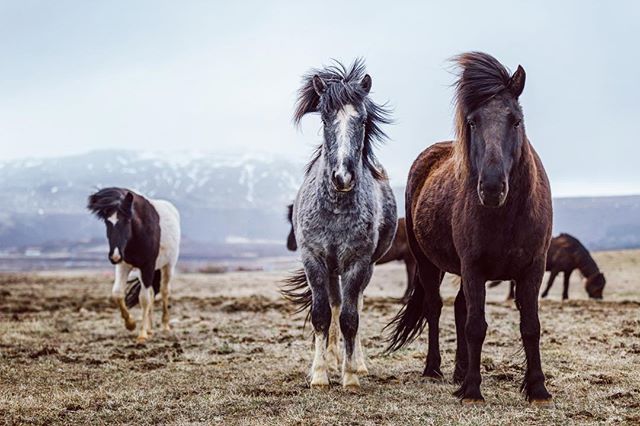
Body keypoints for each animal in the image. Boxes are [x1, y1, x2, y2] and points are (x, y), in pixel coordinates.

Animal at [87, 188, 181, 342]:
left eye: (127, 220)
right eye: (107, 222)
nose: (114, 256)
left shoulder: (147, 266)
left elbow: (143, 299)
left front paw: (141, 335)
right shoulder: (123, 265)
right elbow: (117, 293)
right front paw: (130, 324)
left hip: (168, 265)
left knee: (164, 291)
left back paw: (165, 326)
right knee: (152, 292)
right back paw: (150, 329)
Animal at [281, 59, 397, 389]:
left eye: (363, 119)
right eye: (324, 118)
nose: (343, 177)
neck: (334, 210)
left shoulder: (357, 262)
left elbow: (350, 318)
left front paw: (350, 376)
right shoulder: (314, 259)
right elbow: (322, 314)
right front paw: (320, 374)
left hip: (363, 268)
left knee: (354, 304)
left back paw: (356, 363)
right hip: (331, 269)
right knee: (334, 303)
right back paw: (332, 358)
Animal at [386, 52, 554, 406]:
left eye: (515, 120)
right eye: (472, 121)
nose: (491, 187)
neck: (507, 216)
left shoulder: (533, 267)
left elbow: (530, 326)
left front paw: (537, 389)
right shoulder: (474, 267)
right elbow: (476, 325)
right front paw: (473, 390)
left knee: (459, 307)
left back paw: (459, 372)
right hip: (427, 263)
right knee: (435, 308)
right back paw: (434, 369)